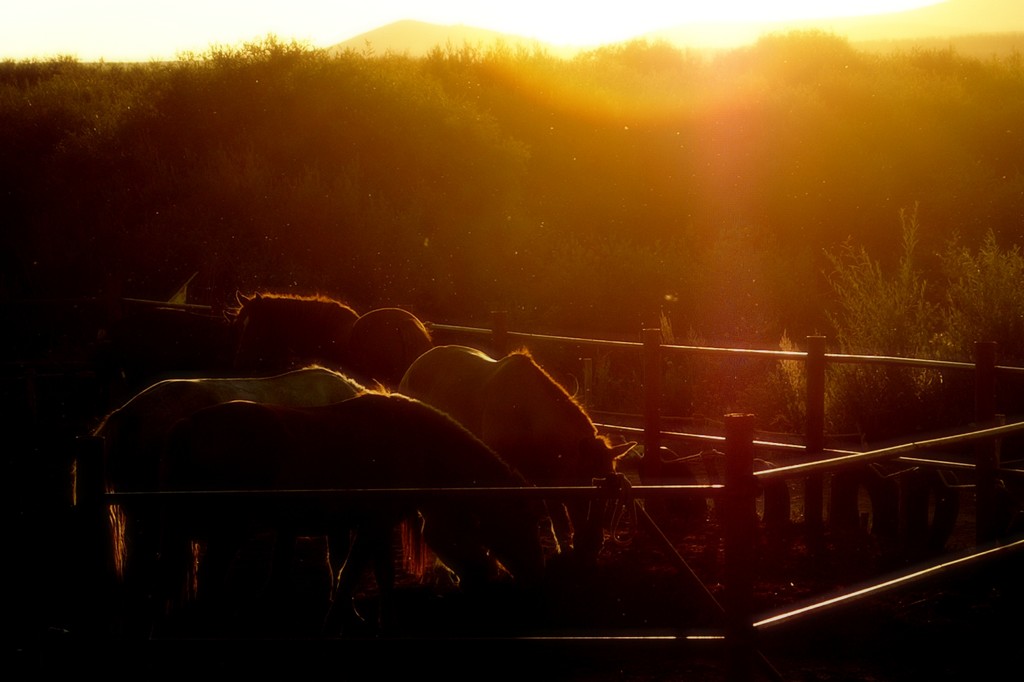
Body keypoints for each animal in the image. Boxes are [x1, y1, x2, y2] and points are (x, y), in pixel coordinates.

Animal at [159, 391, 548, 634]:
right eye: (522, 523)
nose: (534, 579)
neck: (414, 443)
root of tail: (189, 425)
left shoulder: (373, 526)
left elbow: (376, 574)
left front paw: (378, 621)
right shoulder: (371, 526)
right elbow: (350, 573)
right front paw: (336, 624)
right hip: (227, 531)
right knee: (210, 581)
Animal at [397, 342, 630, 561]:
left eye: (612, 495)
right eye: (585, 487)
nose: (592, 546)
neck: (525, 416)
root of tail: (413, 367)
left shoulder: (548, 476)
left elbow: (556, 512)